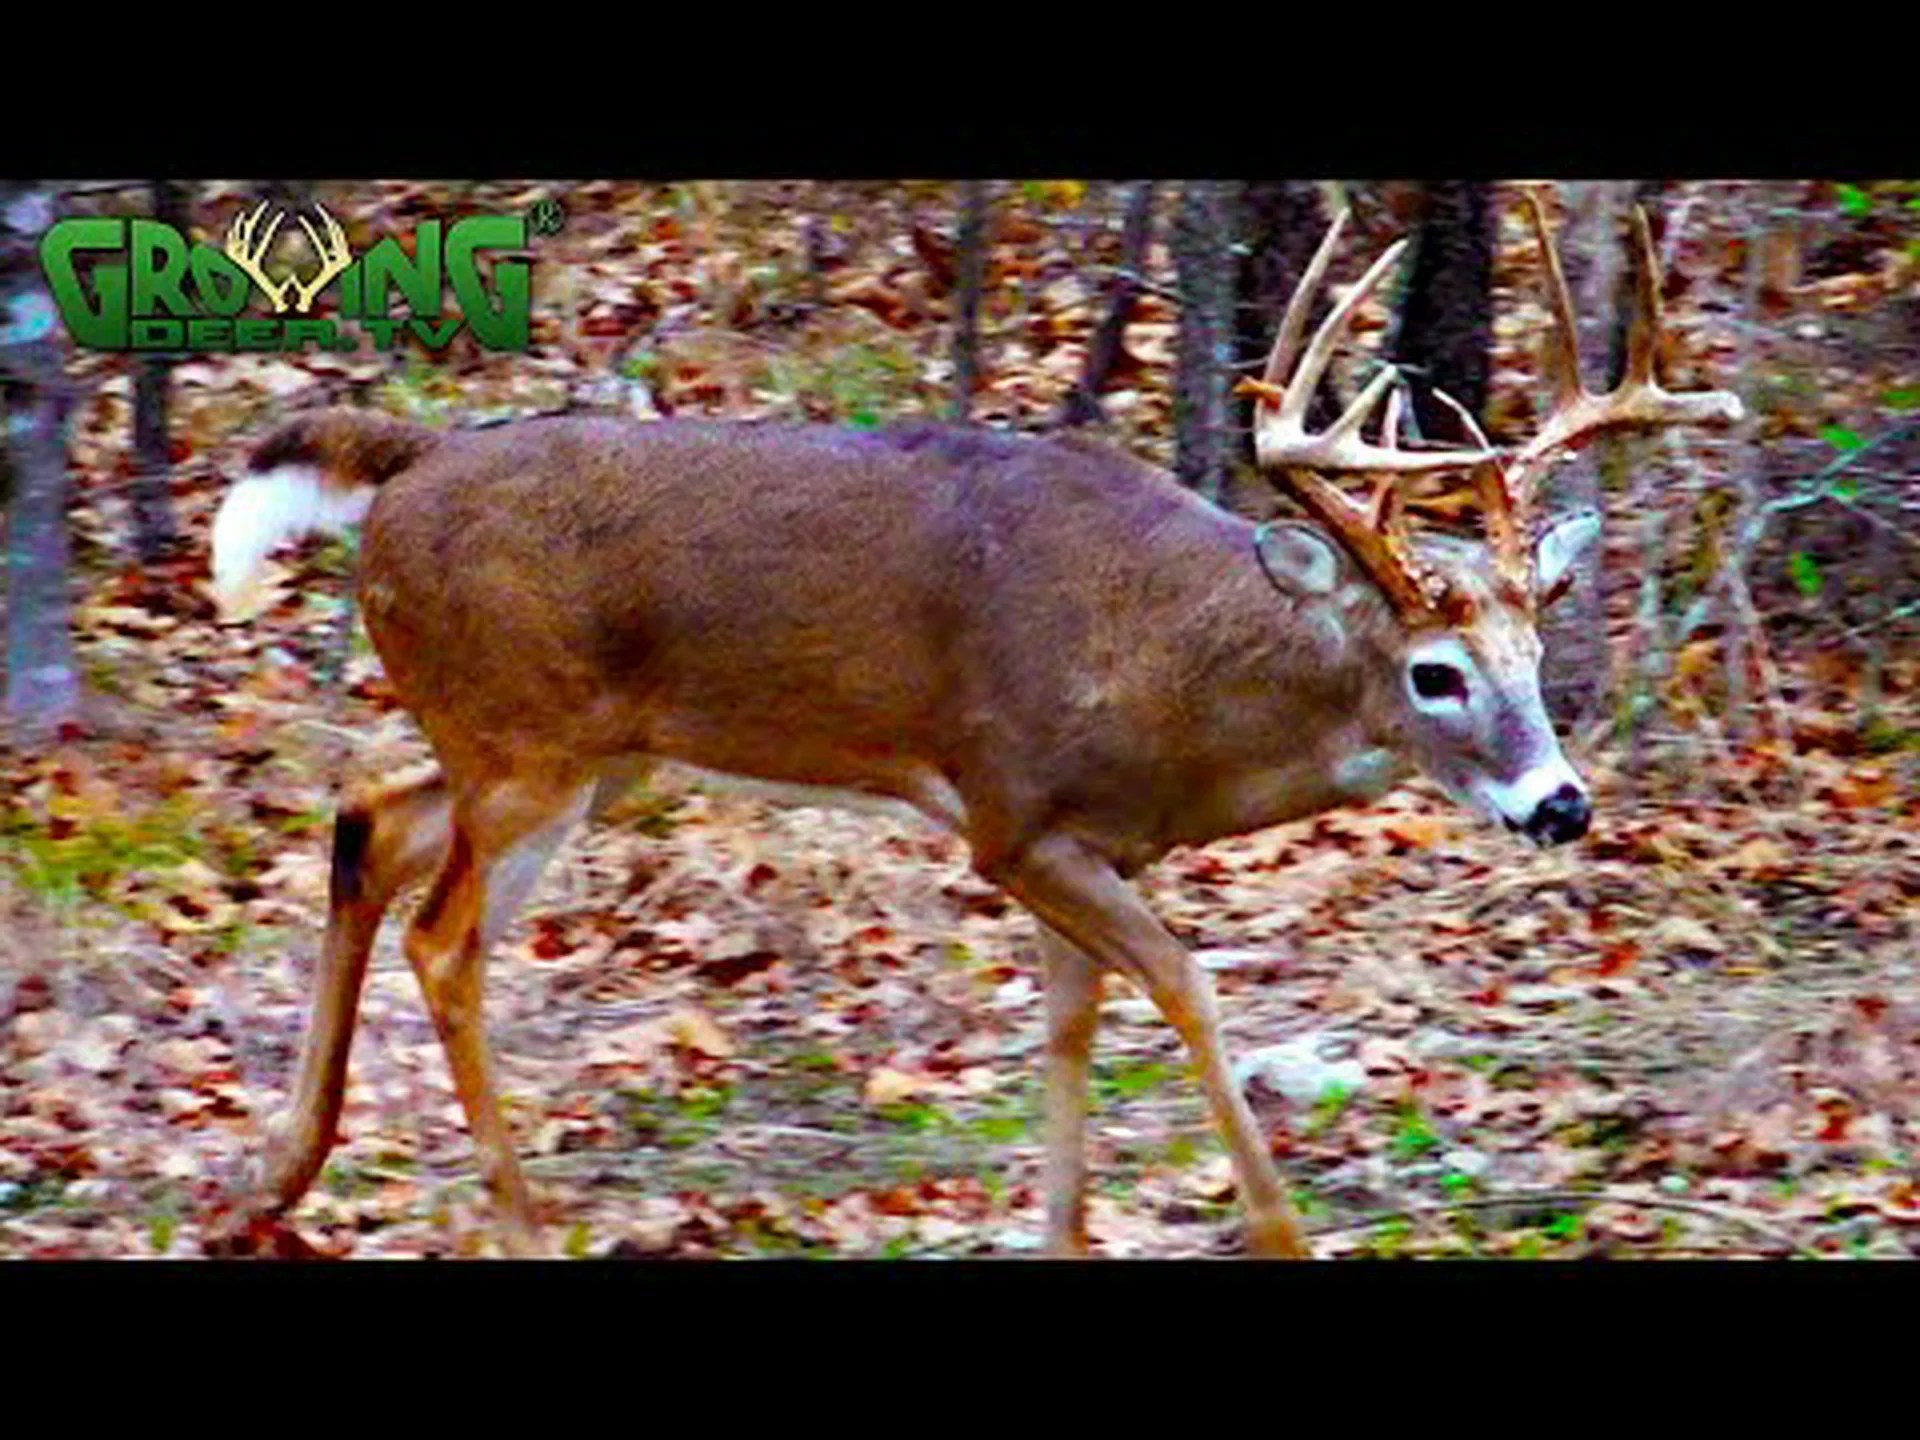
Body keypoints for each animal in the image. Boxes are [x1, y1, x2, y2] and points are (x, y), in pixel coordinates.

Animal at [207, 189, 1741, 1258]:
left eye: (1533, 652)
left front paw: (1062, 1227)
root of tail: (405, 471)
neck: (1166, 677)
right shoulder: (1012, 816)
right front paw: (1280, 1229)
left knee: (369, 819)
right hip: (530, 745)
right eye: (1434, 672)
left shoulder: (1095, 844)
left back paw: (281, 1172)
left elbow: (1070, 1025)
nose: (1560, 803)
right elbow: (1185, 986)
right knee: (444, 937)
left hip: (570, 755)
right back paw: (516, 1223)